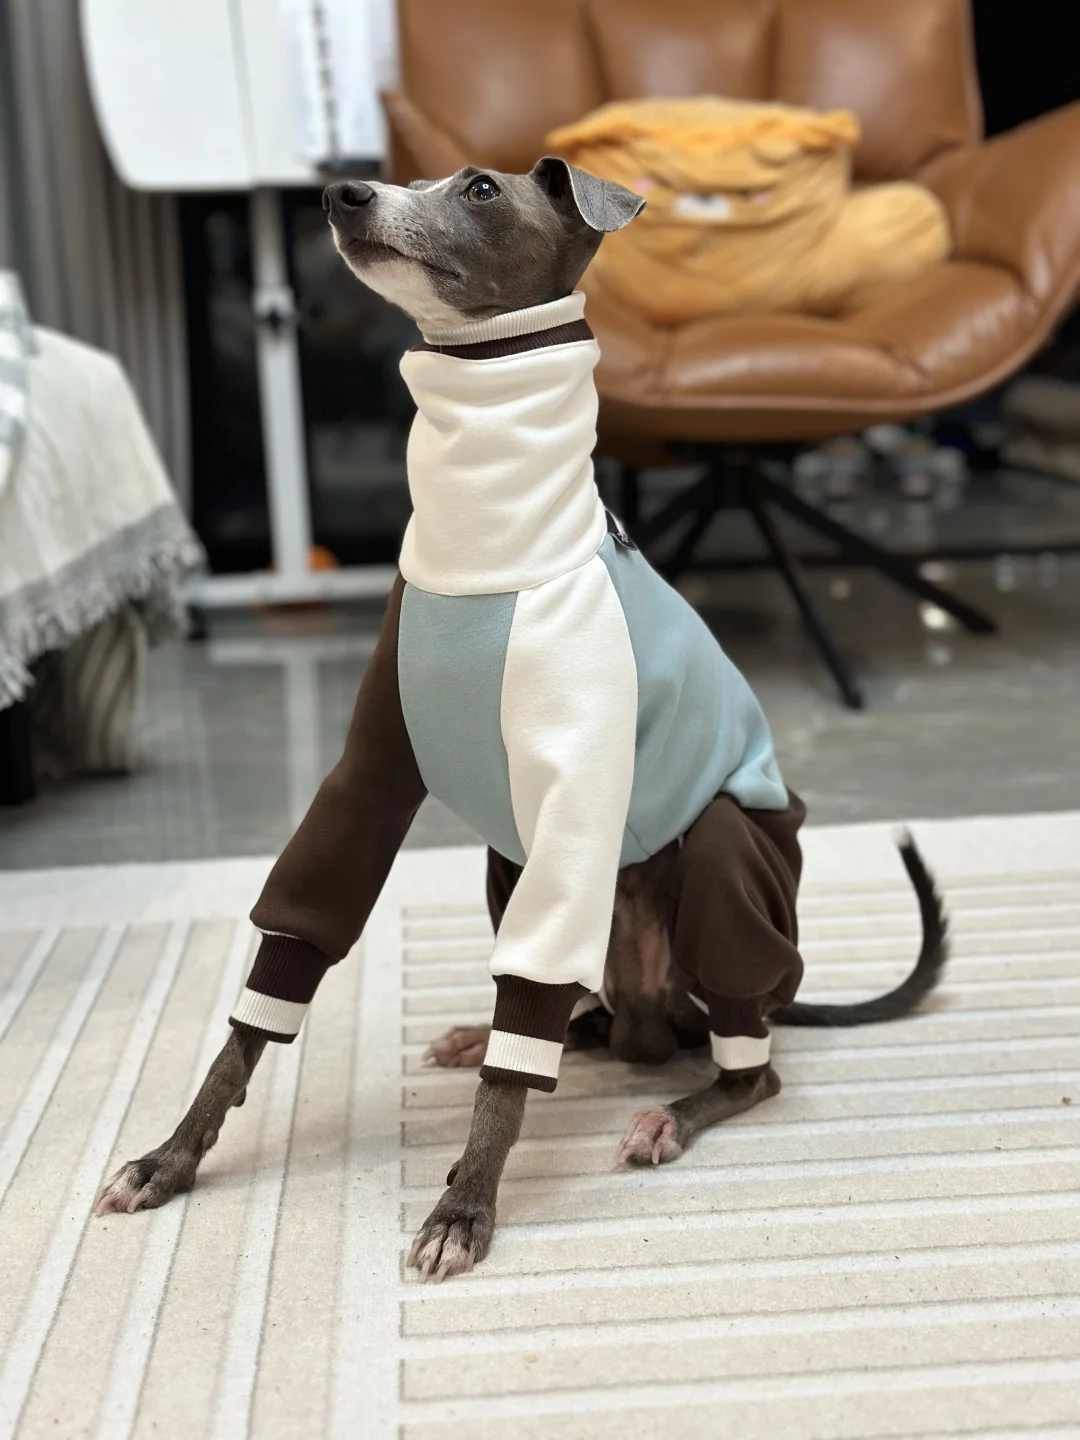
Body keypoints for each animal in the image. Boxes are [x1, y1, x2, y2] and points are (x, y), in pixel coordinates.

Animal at [95, 159, 948, 1285]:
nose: (341, 193)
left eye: (480, 189)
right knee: (572, 1023)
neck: (486, 547)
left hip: (722, 860)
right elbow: (271, 989)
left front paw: (464, 1208)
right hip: (505, 863)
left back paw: (669, 1110)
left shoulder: (575, 799)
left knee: (740, 1064)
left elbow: (515, 1068)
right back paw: (501, 1033)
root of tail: (650, 1019)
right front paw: (169, 1158)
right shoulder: (366, 778)